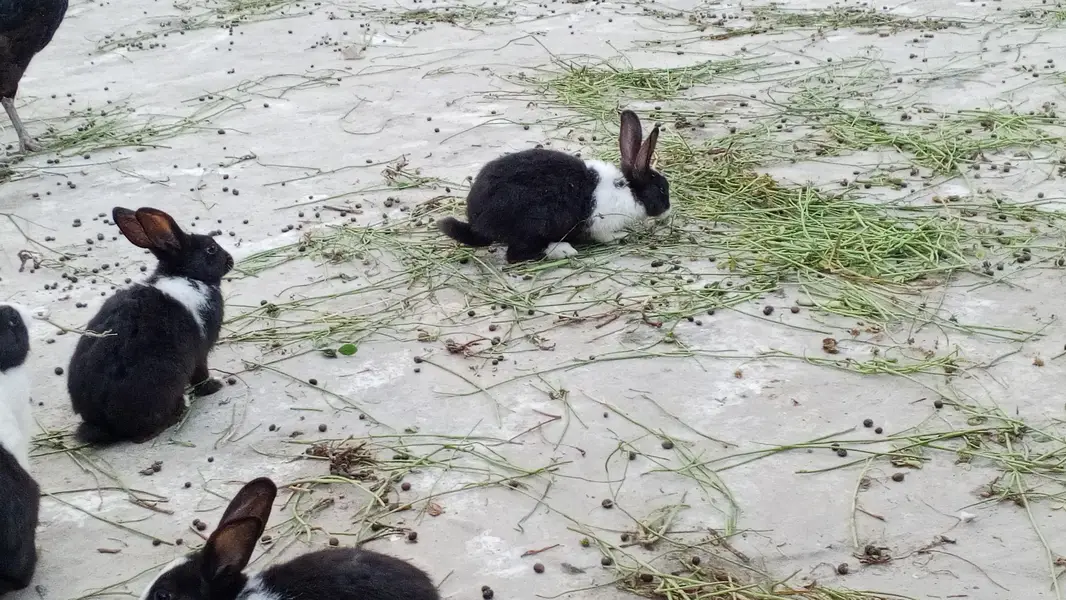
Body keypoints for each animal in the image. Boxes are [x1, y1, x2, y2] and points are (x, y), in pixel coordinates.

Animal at [68, 207, 233, 445]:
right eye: (211, 249)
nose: (230, 259)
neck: (186, 275)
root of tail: (101, 424)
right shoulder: (200, 354)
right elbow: (201, 374)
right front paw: (215, 386)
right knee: (142, 435)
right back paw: (179, 410)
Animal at [438, 109, 669, 263]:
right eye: (661, 189)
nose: (668, 210)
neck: (629, 190)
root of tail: (477, 223)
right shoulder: (599, 223)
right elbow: (604, 236)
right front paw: (620, 236)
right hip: (534, 226)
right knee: (516, 255)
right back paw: (562, 250)